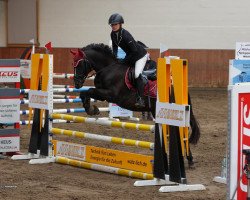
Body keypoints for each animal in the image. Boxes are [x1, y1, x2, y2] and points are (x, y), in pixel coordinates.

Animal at [71, 43, 200, 164]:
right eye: (73, 64)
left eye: (79, 64)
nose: (77, 83)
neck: (108, 68)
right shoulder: (103, 95)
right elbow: (84, 93)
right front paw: (92, 109)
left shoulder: (110, 94)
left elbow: (89, 91)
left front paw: (91, 109)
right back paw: (188, 159)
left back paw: (189, 159)